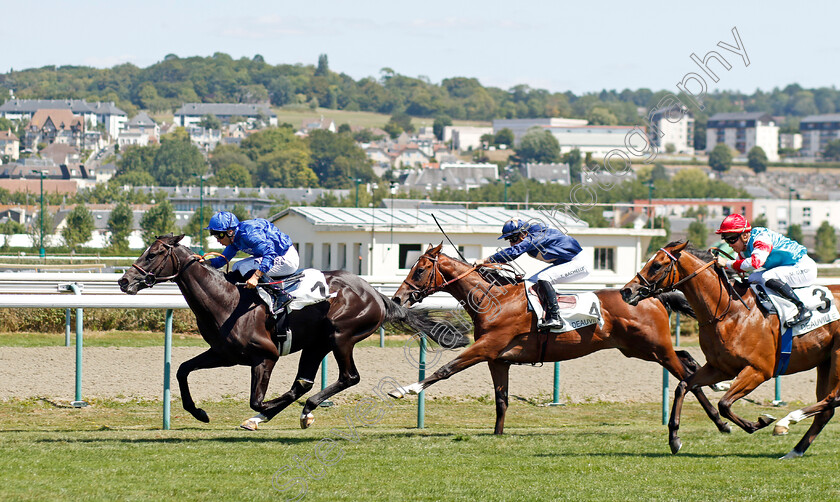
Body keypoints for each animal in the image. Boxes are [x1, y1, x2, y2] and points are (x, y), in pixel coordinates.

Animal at [117, 234, 470, 428]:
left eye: (152, 254)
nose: (124, 280)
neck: (226, 300)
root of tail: (376, 293)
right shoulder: (223, 353)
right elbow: (182, 370)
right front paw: (198, 412)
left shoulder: (266, 355)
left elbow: (257, 401)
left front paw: (264, 411)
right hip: (317, 343)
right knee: (304, 382)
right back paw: (297, 411)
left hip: (341, 336)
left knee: (347, 378)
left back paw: (300, 410)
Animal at [390, 243, 732, 436]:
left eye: (419, 270)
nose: (398, 297)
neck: (493, 299)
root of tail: (652, 296)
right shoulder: (498, 359)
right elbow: (501, 400)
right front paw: (497, 435)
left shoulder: (485, 347)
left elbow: (445, 370)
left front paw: (405, 389)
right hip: (639, 348)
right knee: (687, 360)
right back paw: (721, 395)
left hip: (654, 347)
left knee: (685, 374)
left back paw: (720, 419)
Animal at [620, 240, 840, 458]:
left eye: (657, 265)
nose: (626, 291)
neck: (729, 311)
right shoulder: (720, 368)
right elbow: (684, 386)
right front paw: (674, 438)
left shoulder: (759, 370)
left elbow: (724, 404)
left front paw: (759, 422)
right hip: (825, 361)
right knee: (827, 410)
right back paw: (795, 450)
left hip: (836, 356)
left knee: (833, 398)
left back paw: (786, 421)